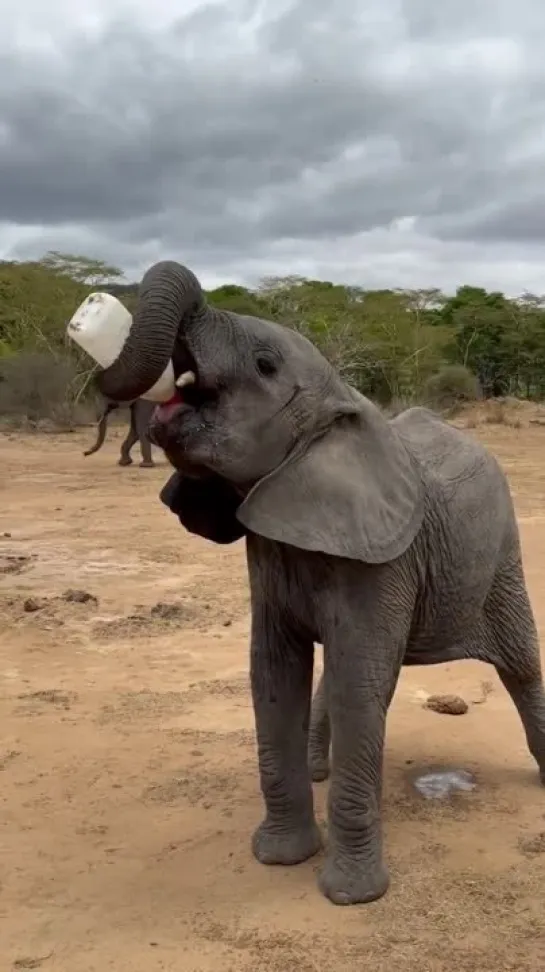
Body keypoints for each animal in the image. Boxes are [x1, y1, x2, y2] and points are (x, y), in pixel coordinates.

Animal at [88, 258, 544, 904]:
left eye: (264, 364)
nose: (95, 310)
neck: (336, 407)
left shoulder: (383, 562)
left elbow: (357, 681)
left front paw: (351, 895)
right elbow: (275, 673)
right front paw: (280, 857)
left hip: (502, 555)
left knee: (521, 663)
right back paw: (317, 771)